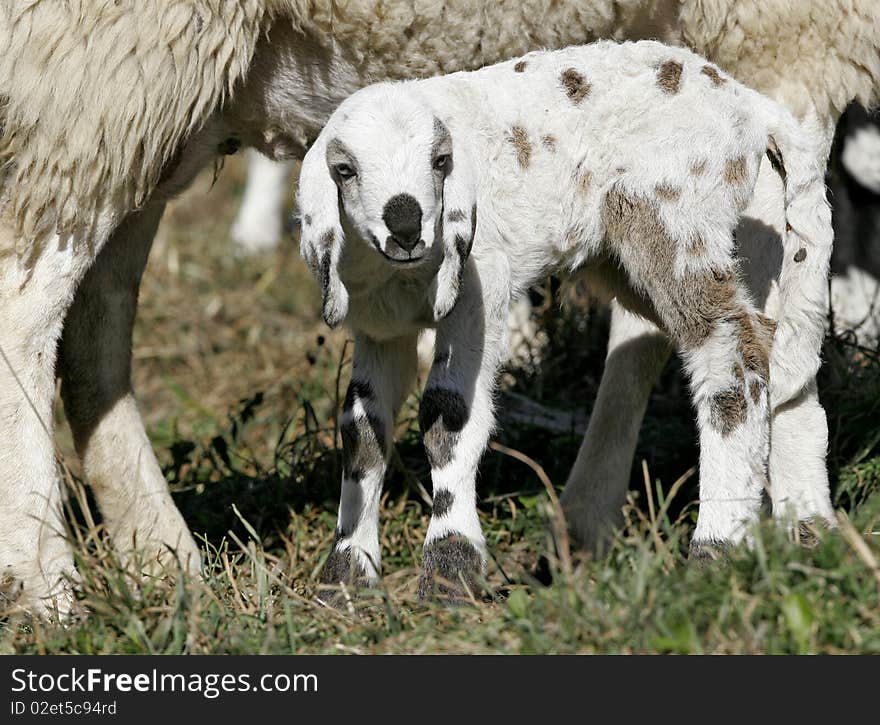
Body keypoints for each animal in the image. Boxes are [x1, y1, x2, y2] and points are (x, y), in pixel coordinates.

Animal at [298, 36, 832, 596]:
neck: (404, 276)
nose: (406, 226)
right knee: (779, 353)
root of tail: (752, 107)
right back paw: (810, 536)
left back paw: (718, 547)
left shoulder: (479, 290)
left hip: (677, 213)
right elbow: (361, 428)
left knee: (730, 348)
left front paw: (450, 569)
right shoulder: (379, 328)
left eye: (441, 160)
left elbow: (449, 414)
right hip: (679, 244)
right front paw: (346, 575)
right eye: (344, 170)